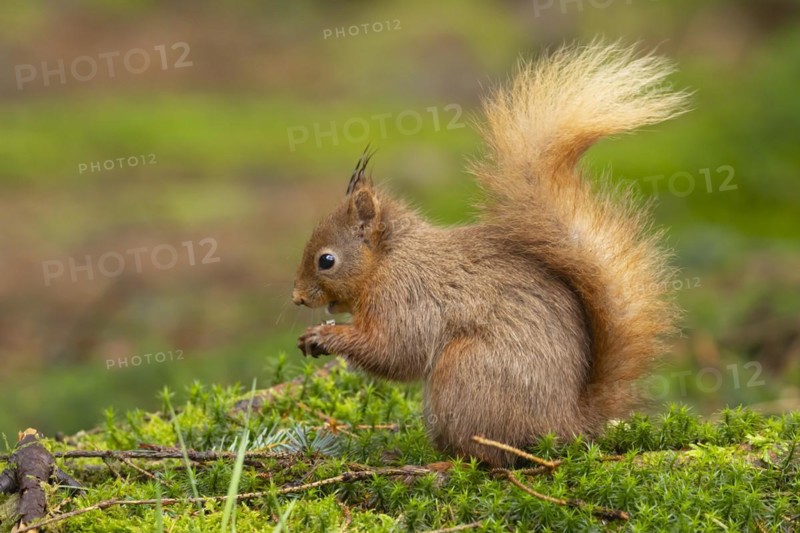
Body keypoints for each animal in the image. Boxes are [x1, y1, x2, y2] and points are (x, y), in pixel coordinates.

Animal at [292, 42, 689, 467]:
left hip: (465, 373)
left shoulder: (404, 296)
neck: (388, 259)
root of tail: (566, 423)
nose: (296, 297)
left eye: (326, 260)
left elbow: (394, 351)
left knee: (487, 454)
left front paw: (325, 336)